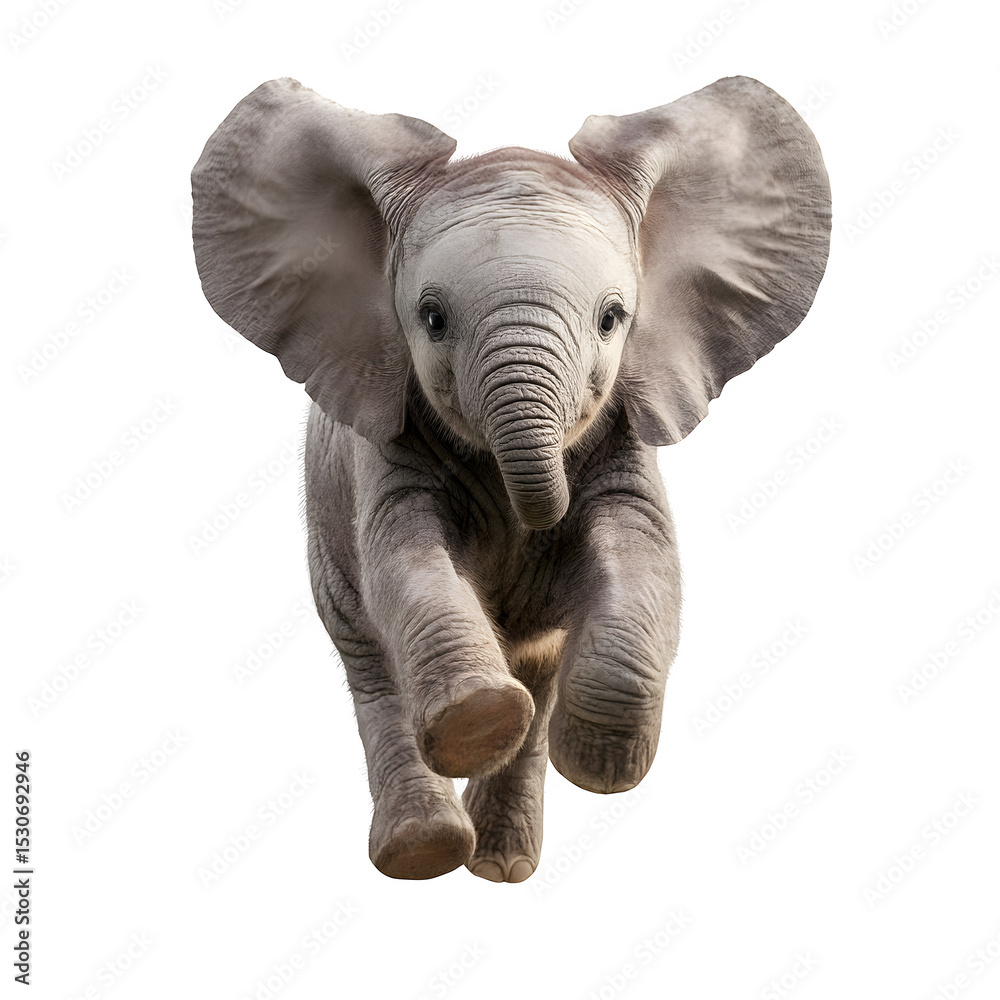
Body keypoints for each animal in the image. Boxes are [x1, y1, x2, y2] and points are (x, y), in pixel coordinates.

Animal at [191, 75, 830, 882]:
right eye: (431, 317)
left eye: (614, 319)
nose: (538, 523)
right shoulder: (384, 441)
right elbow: (404, 558)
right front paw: (479, 722)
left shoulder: (625, 435)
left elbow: (642, 552)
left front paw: (598, 764)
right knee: (370, 658)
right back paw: (425, 850)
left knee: (541, 667)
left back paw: (499, 865)